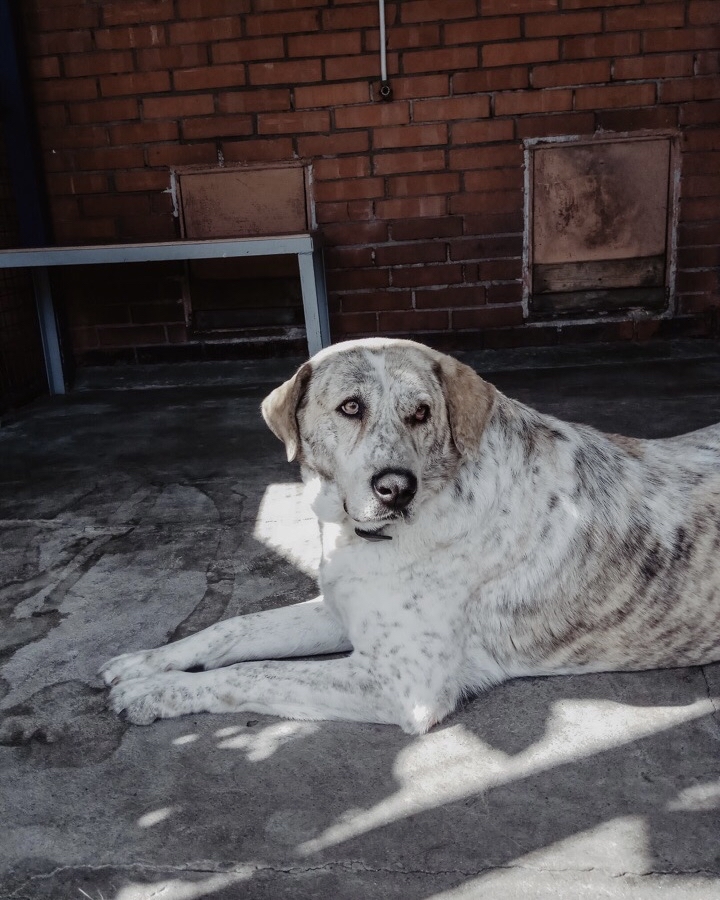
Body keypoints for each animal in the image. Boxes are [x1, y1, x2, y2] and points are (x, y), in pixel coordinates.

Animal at [100, 338, 720, 732]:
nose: (395, 489)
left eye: (421, 413)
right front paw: (145, 664)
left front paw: (152, 694)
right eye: (350, 407)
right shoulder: (340, 609)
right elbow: (233, 630)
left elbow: (253, 672)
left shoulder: (399, 682)